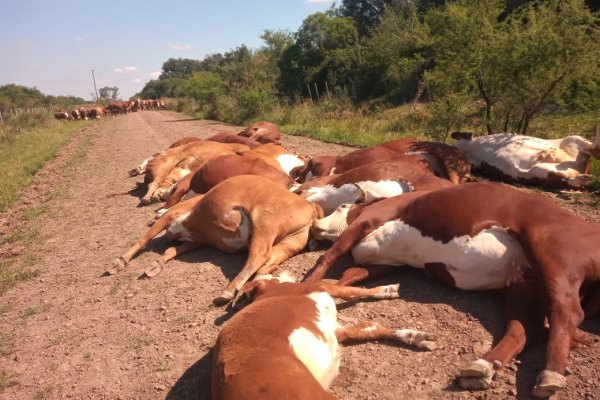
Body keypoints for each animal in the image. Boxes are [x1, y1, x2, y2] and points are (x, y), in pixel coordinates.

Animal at [110, 176, 326, 306]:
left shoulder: (171, 217)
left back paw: (229, 291)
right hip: (288, 243)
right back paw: (252, 288)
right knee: (267, 263)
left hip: (264, 222)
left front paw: (119, 262)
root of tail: (310, 204)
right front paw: (156, 265)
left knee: (258, 256)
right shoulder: (196, 240)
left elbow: (144, 238)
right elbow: (171, 251)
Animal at [212, 274, 436, 400]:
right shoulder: (321, 287)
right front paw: (386, 289)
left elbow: (368, 326)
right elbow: (351, 290)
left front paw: (414, 335)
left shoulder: (335, 330)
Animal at [308, 181, 600, 396]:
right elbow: (350, 276)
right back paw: (484, 366)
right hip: (525, 287)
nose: (314, 225)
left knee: (566, 312)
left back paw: (551, 374)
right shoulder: (385, 264)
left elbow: (330, 255)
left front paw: (309, 284)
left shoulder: (368, 219)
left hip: (555, 255)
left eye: (341, 206)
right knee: (525, 328)